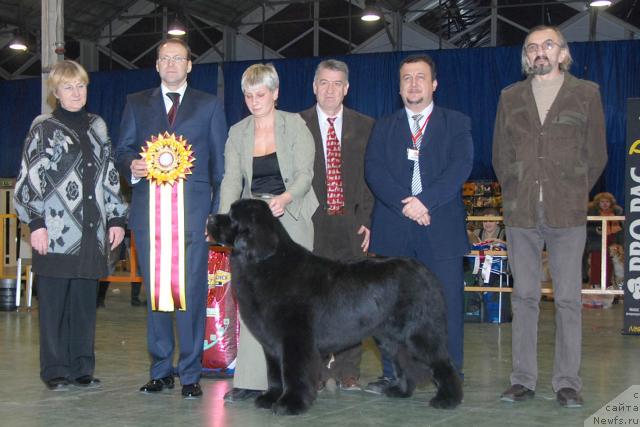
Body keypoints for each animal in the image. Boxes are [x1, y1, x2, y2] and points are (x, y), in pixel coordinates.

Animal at [208, 200, 462, 414]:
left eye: (232, 216)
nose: (210, 217)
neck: (264, 263)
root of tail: (425, 270)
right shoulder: (271, 342)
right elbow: (274, 373)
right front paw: (270, 398)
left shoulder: (295, 339)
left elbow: (292, 372)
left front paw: (291, 404)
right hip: (390, 336)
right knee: (403, 361)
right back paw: (399, 391)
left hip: (419, 332)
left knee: (442, 362)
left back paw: (448, 399)